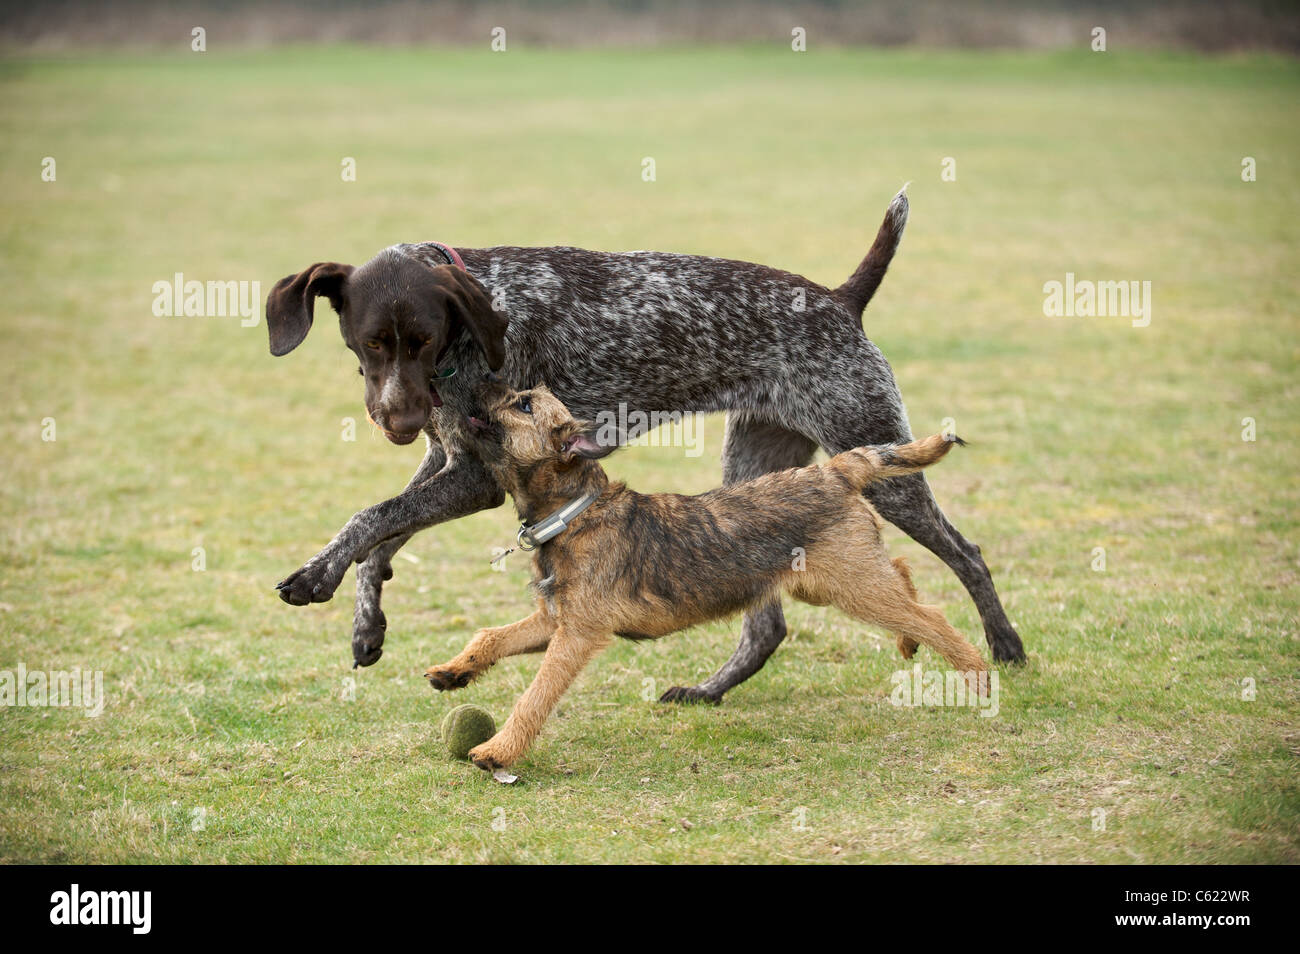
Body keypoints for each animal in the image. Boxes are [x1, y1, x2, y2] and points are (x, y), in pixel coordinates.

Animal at [426, 379, 982, 769]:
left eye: (522, 405)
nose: (478, 382)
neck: (574, 510)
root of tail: (835, 469)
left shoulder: (576, 634)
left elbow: (535, 696)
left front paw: (497, 750)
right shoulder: (552, 620)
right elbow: (491, 636)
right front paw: (455, 671)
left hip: (851, 586)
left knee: (930, 615)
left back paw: (976, 676)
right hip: (826, 583)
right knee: (903, 580)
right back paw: (909, 643)